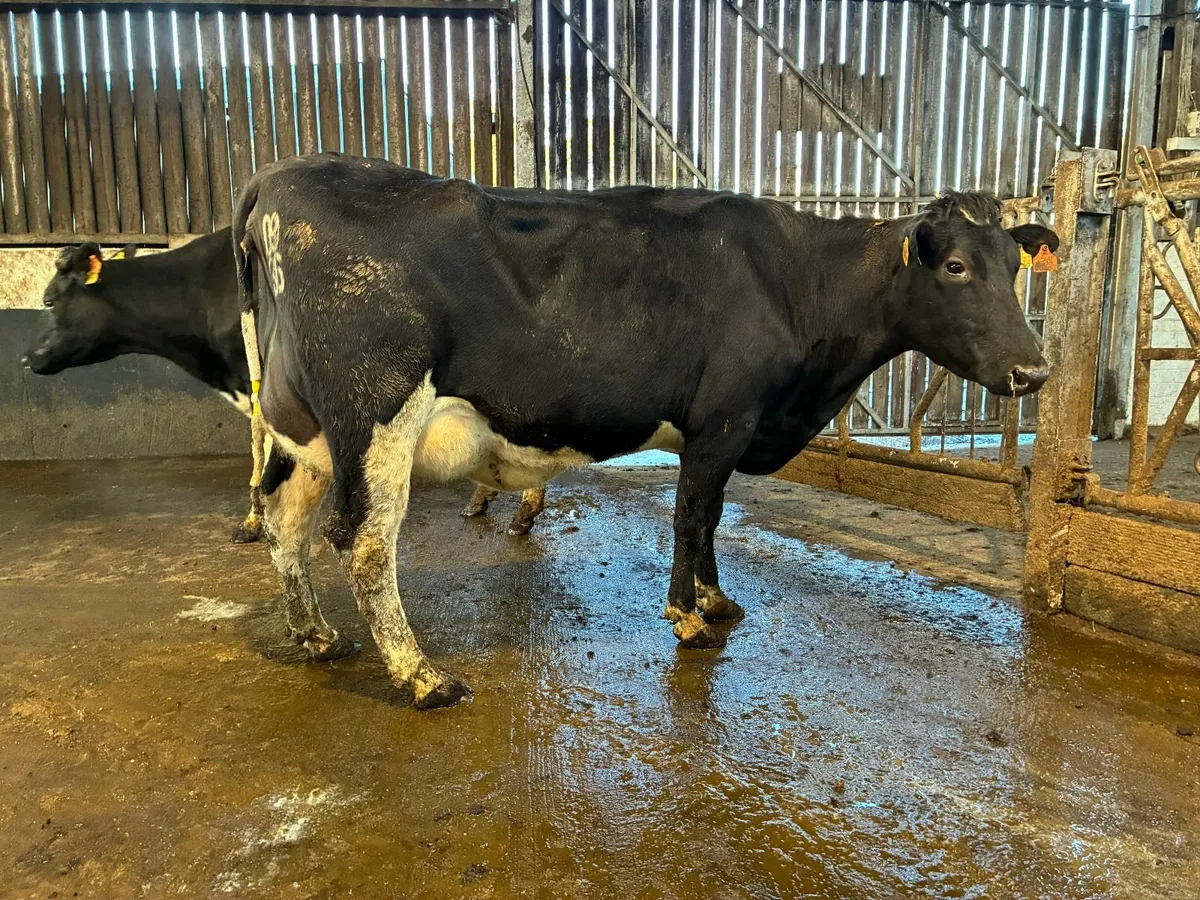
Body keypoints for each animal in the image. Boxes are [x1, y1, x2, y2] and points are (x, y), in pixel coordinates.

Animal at [233, 152, 1056, 710]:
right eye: (954, 267)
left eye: (1016, 265)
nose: (1034, 371)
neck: (795, 281)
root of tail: (283, 173)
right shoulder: (723, 419)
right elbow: (692, 514)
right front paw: (687, 617)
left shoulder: (727, 430)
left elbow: (713, 515)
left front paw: (717, 599)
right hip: (376, 414)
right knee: (364, 539)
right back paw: (421, 675)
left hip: (302, 431)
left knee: (281, 515)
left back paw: (314, 635)